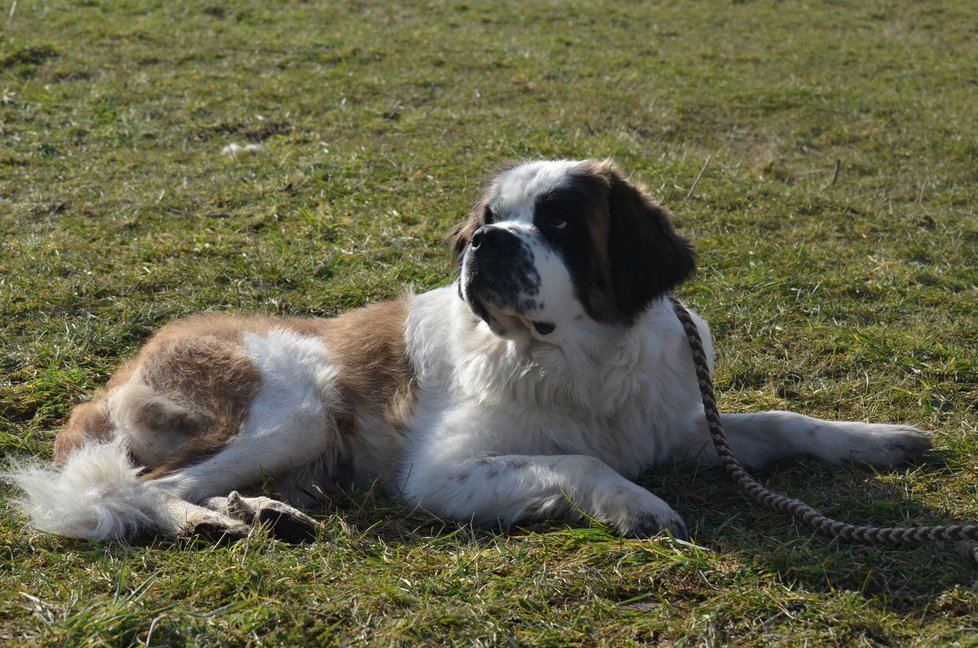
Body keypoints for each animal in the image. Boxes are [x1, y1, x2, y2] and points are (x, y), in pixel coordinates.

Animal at [9, 159, 932, 544]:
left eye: (561, 220)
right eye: (491, 215)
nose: (488, 241)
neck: (580, 360)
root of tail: (130, 361)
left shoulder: (678, 423)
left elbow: (781, 419)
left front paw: (879, 440)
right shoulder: (443, 472)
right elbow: (581, 463)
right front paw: (637, 504)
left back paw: (258, 512)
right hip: (297, 409)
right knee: (143, 487)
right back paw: (204, 521)